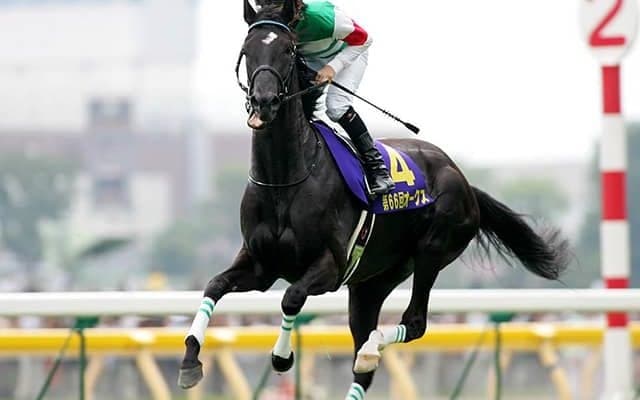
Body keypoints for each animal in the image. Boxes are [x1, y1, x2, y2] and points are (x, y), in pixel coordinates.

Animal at [178, 1, 569, 398]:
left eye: (288, 49)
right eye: (247, 49)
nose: (264, 102)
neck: (284, 181)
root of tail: (463, 179)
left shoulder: (330, 265)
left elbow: (291, 298)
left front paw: (282, 356)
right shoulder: (261, 265)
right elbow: (214, 285)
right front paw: (190, 360)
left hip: (432, 250)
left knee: (412, 324)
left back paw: (371, 347)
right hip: (372, 282)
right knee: (364, 362)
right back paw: (366, 354)